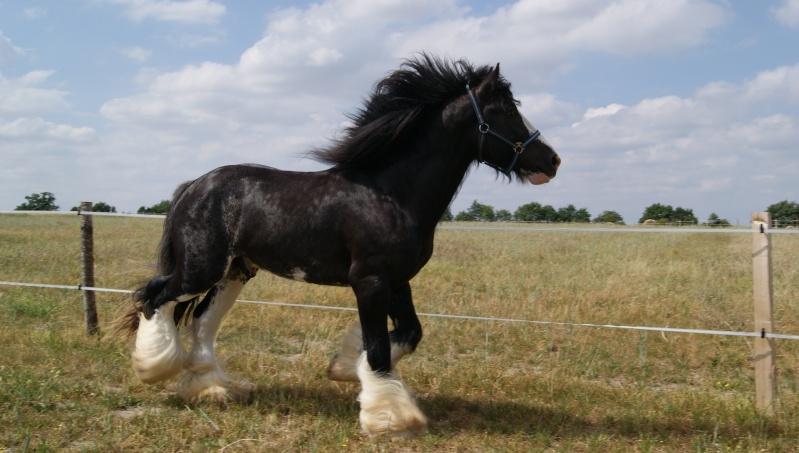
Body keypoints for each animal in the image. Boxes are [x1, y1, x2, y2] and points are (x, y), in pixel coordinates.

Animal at [120, 53, 564, 438]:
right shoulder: (370, 280)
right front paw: (389, 418)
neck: (392, 193)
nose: (553, 161)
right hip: (201, 269)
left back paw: (214, 390)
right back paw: (154, 368)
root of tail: (194, 185)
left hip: (235, 272)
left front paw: (345, 368)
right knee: (154, 297)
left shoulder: (397, 280)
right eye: (506, 110)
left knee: (202, 322)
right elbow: (381, 346)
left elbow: (409, 333)